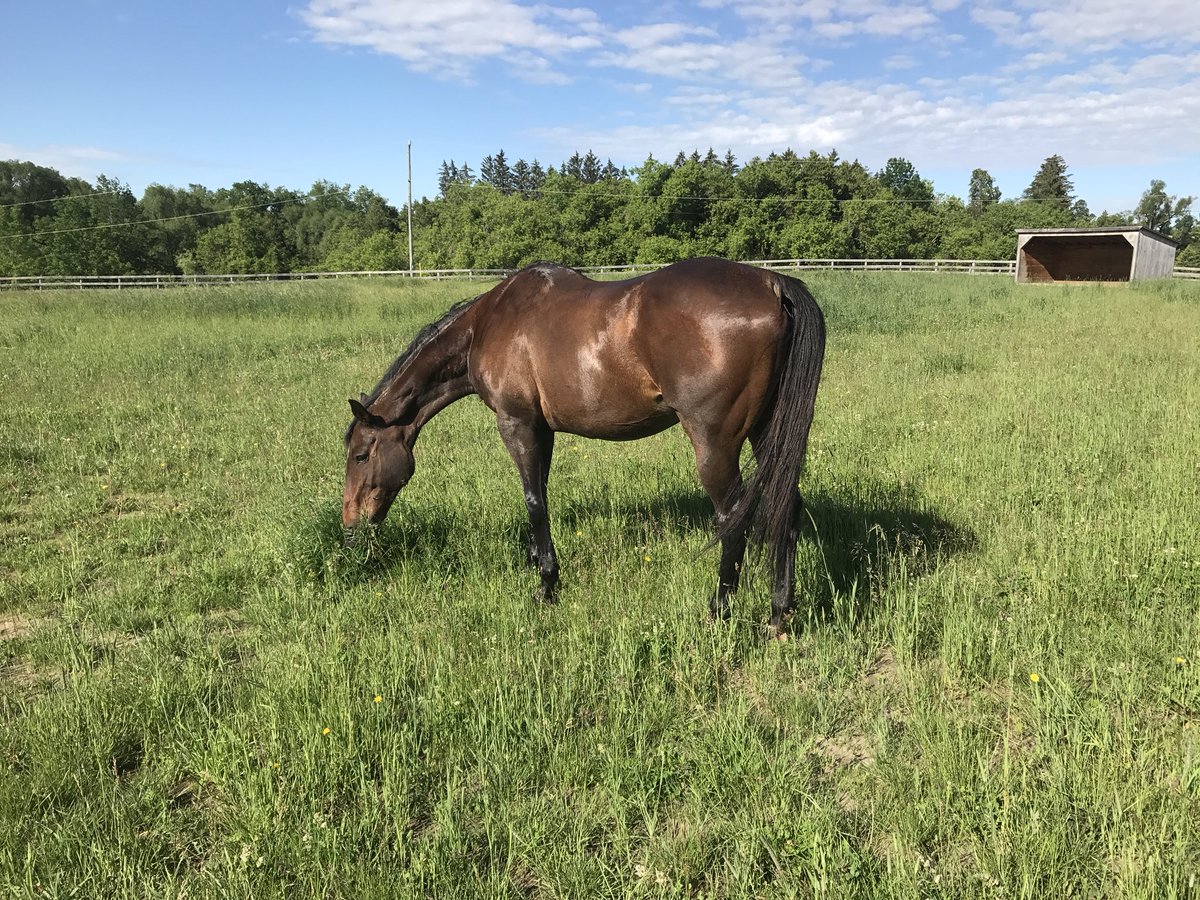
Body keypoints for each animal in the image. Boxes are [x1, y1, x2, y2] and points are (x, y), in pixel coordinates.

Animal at [342, 257, 825, 634]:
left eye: (361, 455)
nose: (350, 526)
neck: (489, 323)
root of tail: (772, 283)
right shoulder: (543, 429)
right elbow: (540, 493)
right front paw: (537, 563)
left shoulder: (517, 423)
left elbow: (534, 500)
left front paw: (546, 585)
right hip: (768, 433)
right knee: (786, 506)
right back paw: (779, 615)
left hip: (714, 445)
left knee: (733, 518)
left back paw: (718, 611)